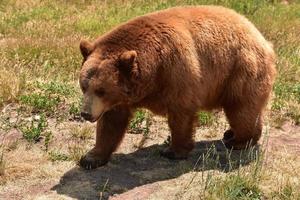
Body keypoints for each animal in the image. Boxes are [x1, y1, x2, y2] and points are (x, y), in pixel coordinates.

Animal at [78, 5, 276, 170]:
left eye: (101, 90)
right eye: (83, 86)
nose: (85, 113)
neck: (153, 71)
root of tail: (263, 39)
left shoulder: (176, 70)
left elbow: (181, 112)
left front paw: (173, 151)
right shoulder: (122, 96)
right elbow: (111, 123)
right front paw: (91, 158)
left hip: (240, 70)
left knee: (241, 109)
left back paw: (238, 140)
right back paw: (232, 134)